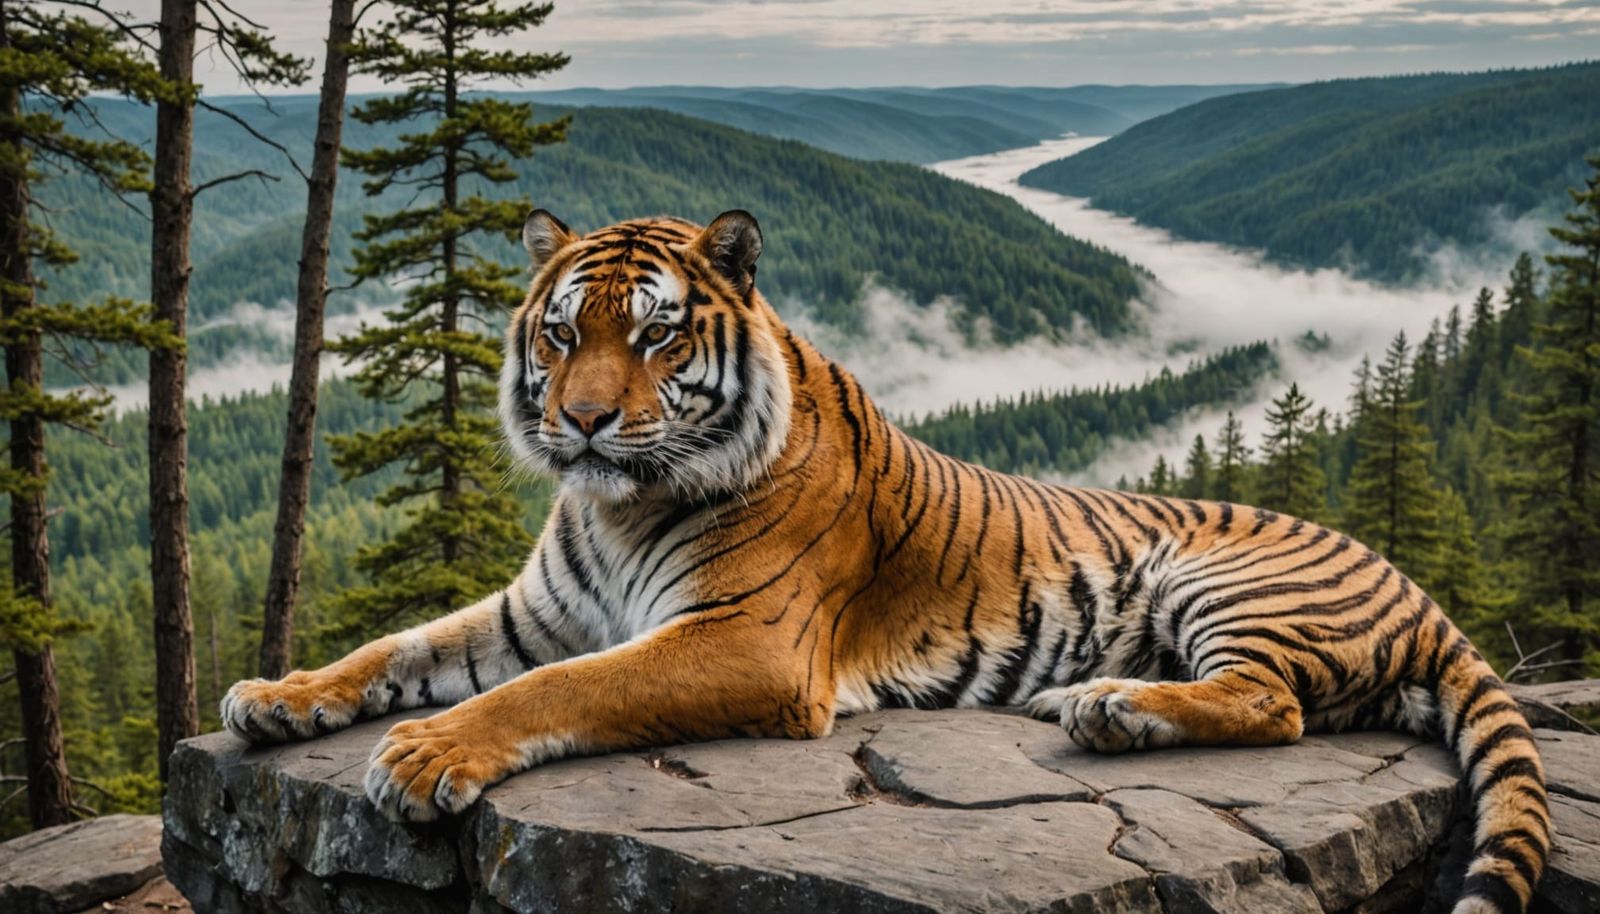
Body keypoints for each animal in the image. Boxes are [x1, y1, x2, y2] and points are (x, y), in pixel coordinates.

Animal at [223, 209, 1548, 914]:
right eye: (559, 331)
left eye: (653, 335)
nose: (583, 420)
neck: (614, 507)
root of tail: (1424, 594)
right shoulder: (532, 610)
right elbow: (393, 645)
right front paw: (276, 698)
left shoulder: (743, 640)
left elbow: (559, 689)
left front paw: (424, 755)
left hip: (1214, 576)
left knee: (1273, 705)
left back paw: (1104, 703)